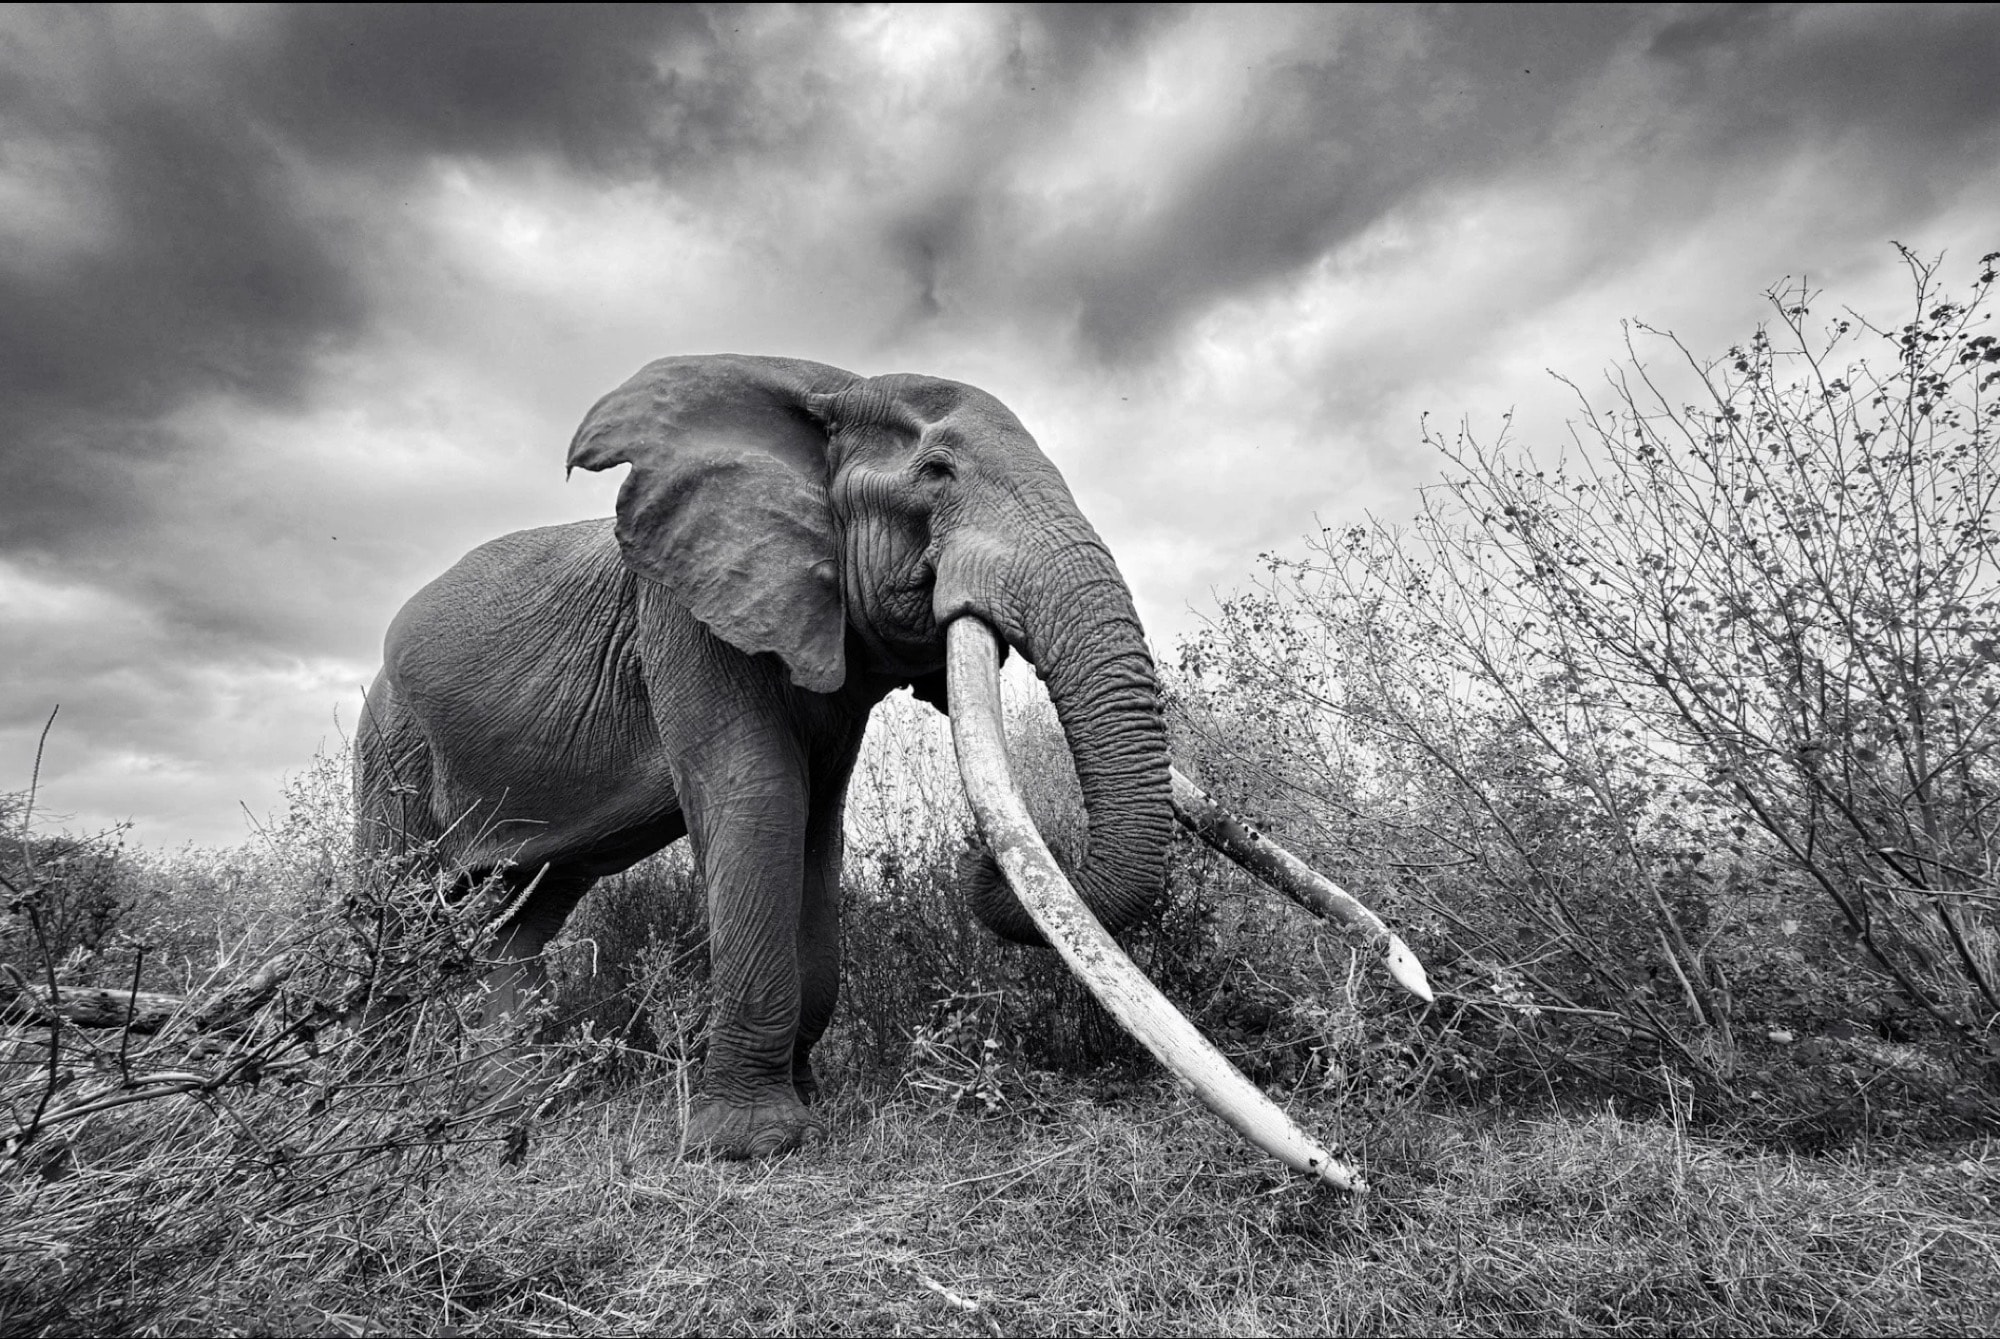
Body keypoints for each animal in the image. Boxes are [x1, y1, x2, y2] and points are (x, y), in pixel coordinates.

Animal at [357, 354, 1428, 1187]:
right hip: (389, 743)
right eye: (938, 472)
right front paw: (750, 1148)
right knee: (394, 907)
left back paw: (509, 1114)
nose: (1416, 982)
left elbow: (815, 823)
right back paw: (385, 1109)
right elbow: (760, 799)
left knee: (519, 919)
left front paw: (806, 1104)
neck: (825, 390)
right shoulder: (687, 611)